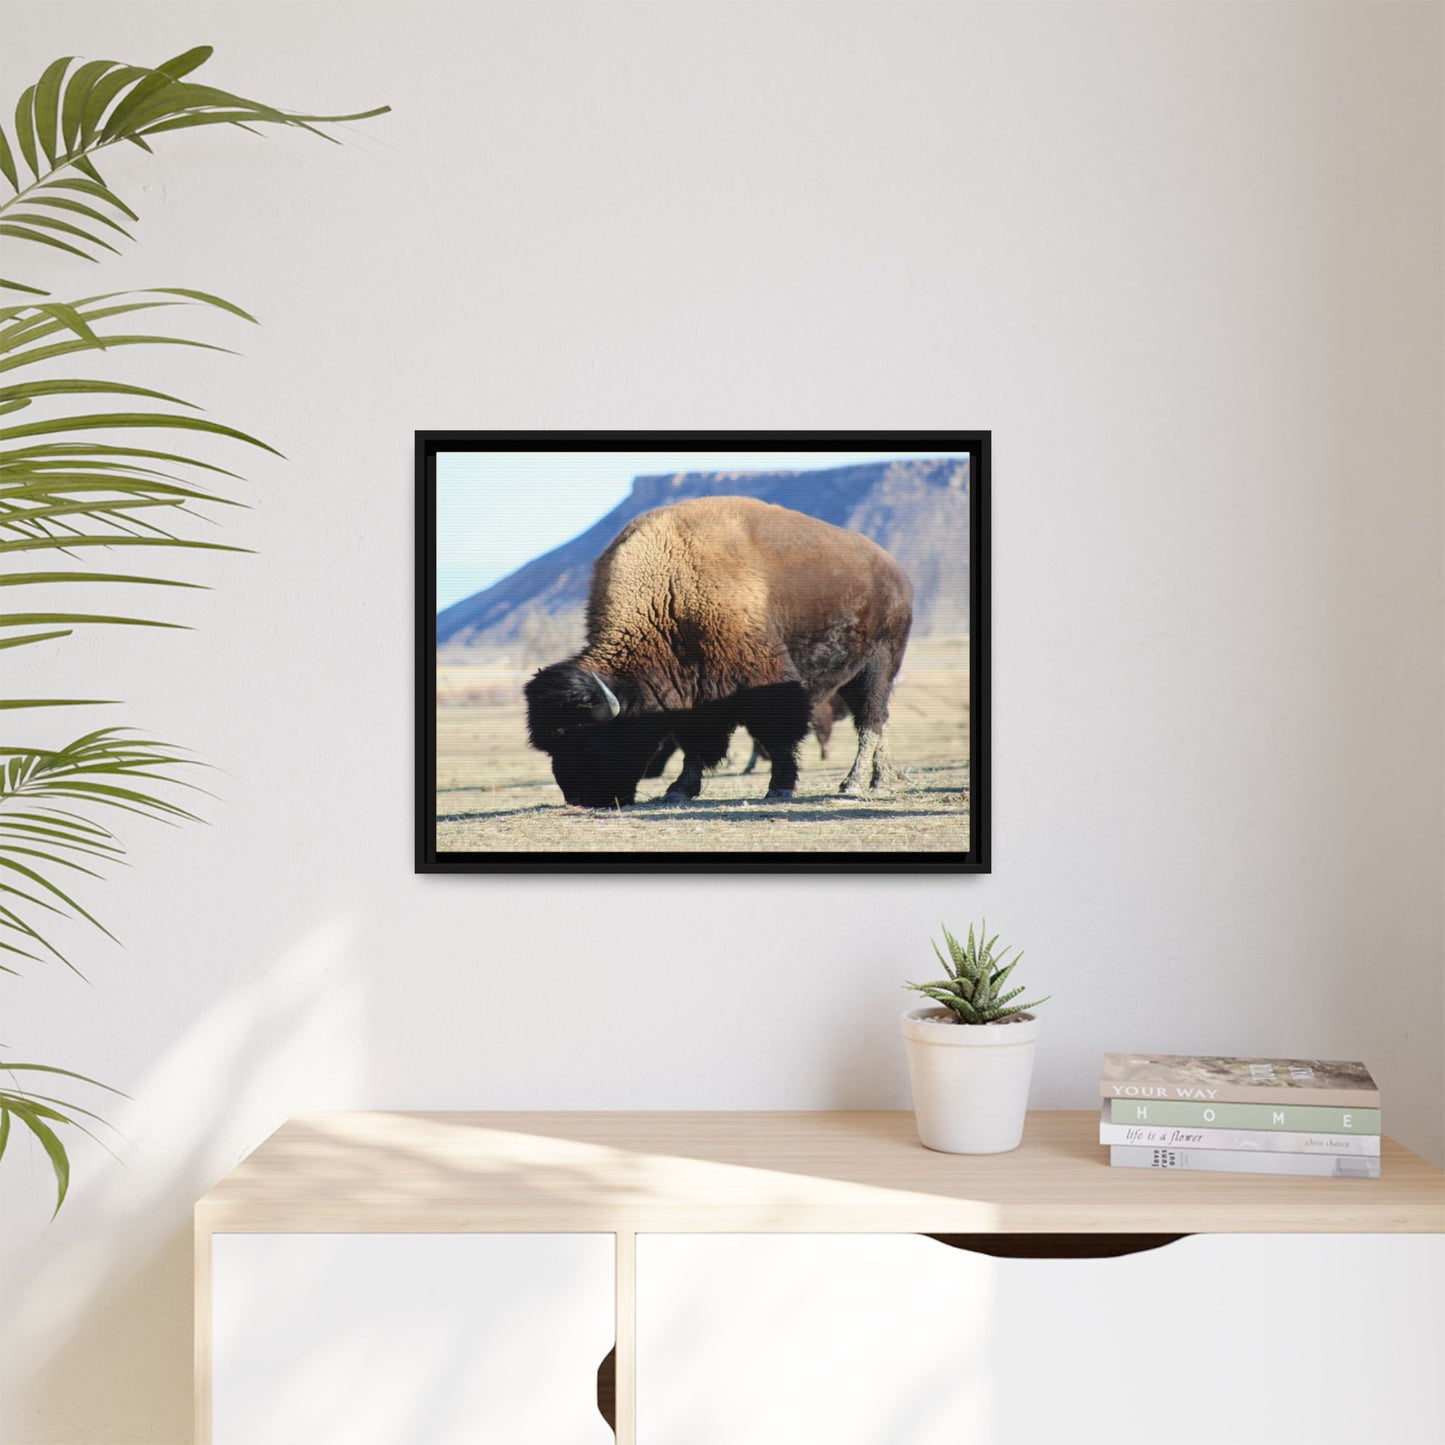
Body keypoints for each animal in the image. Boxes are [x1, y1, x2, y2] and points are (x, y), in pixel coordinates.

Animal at [524, 496, 913, 808]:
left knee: (870, 720)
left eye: (589, 741)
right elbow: (695, 744)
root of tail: (894, 570)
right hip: (855, 672)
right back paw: (881, 780)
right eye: (551, 747)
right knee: (877, 720)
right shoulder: (693, 695)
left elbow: (778, 735)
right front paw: (678, 790)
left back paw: (858, 784)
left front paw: (780, 788)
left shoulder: (765, 681)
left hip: (880, 663)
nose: (580, 798)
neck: (669, 592)